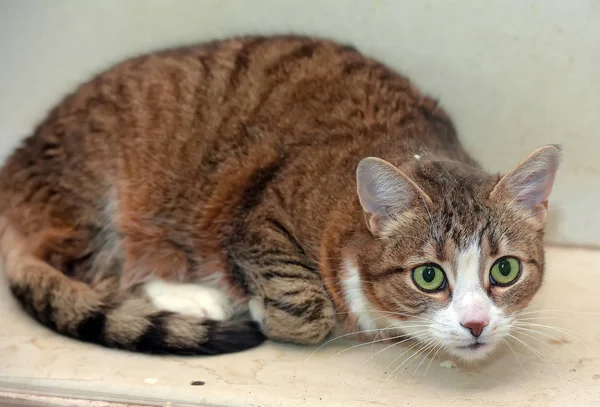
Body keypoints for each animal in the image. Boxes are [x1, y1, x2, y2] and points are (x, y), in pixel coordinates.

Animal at [1, 34, 564, 360]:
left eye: (505, 270)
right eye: (429, 276)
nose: (476, 324)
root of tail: (15, 168)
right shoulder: (259, 212)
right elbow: (303, 305)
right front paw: (257, 306)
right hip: (97, 200)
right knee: (92, 269)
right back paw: (192, 295)